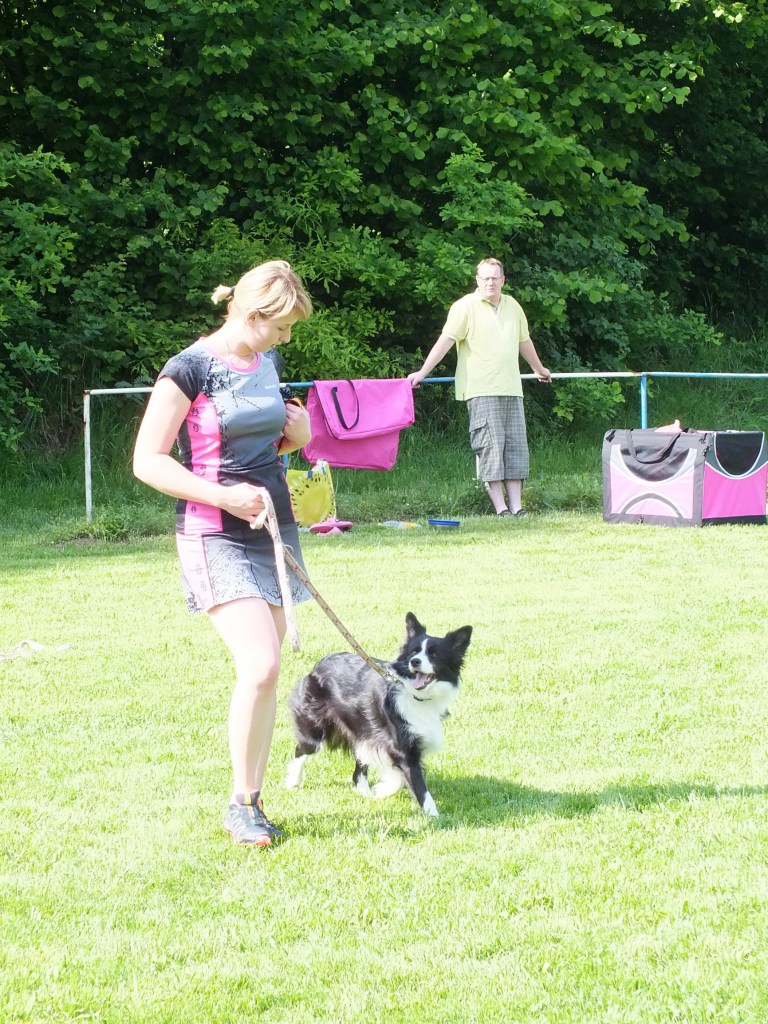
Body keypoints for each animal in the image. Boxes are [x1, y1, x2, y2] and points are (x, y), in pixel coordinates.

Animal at [285, 612, 472, 817]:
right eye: (413, 652)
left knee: (359, 765)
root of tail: (317, 665)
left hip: (362, 729)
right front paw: (434, 816)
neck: (416, 696)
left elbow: (399, 776)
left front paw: (382, 790)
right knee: (302, 749)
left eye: (434, 654)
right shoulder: (401, 747)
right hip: (316, 726)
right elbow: (418, 785)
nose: (414, 662)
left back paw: (364, 792)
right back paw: (292, 781)